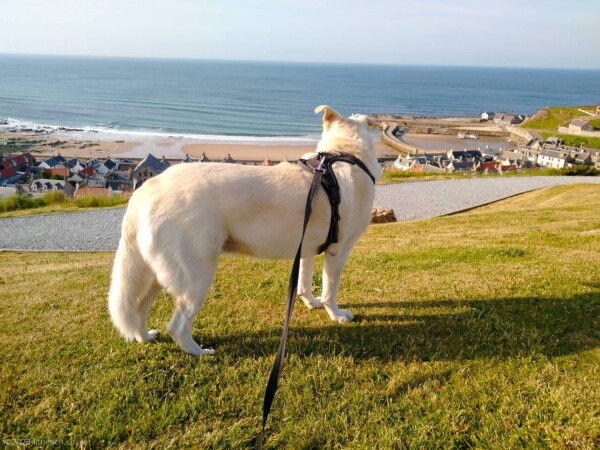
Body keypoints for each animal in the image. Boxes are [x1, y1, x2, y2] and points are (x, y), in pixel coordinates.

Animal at [109, 105, 380, 356]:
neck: (345, 153)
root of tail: (150, 186)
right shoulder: (338, 252)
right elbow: (329, 291)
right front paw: (335, 314)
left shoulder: (307, 250)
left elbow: (303, 283)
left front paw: (311, 303)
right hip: (196, 277)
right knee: (177, 326)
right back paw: (199, 352)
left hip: (157, 274)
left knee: (137, 309)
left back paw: (145, 336)